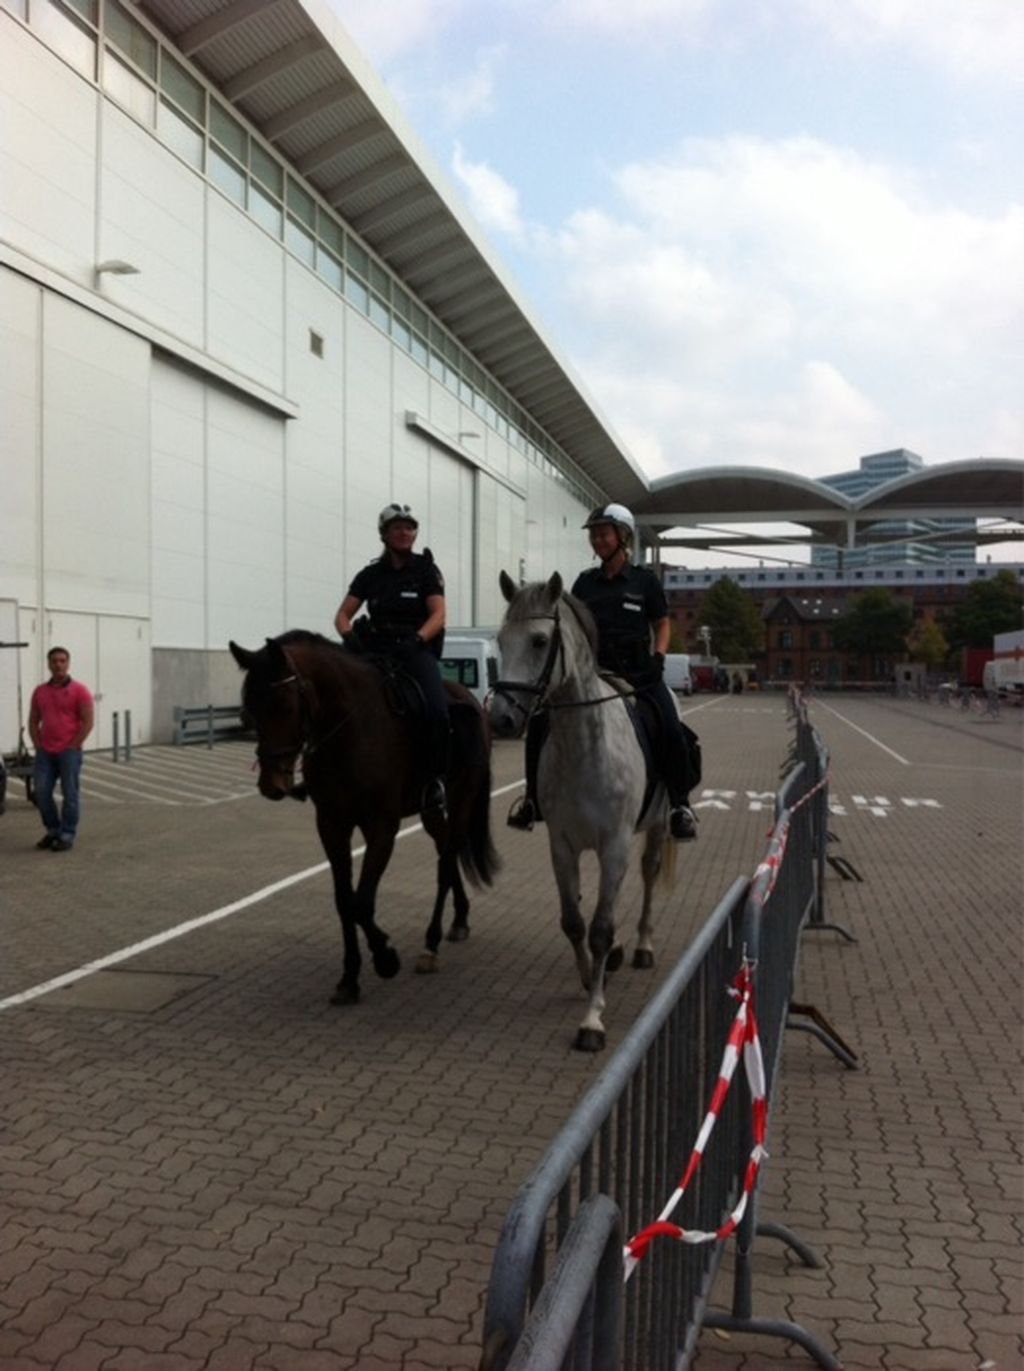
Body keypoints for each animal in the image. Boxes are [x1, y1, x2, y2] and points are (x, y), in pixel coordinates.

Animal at [233, 627, 504, 1003]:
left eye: (284, 705)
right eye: (250, 708)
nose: (271, 784)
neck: (349, 730)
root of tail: (472, 700)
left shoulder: (382, 828)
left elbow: (361, 902)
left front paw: (386, 958)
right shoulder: (332, 825)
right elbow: (344, 901)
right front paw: (349, 978)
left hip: (463, 797)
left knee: (447, 861)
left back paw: (431, 944)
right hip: (431, 811)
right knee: (445, 852)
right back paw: (459, 919)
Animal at [490, 567, 677, 1047]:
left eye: (539, 640)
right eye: (500, 639)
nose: (500, 719)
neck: (585, 748)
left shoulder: (614, 845)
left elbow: (601, 928)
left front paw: (592, 1018)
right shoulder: (562, 844)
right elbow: (574, 922)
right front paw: (590, 976)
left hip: (657, 827)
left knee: (649, 874)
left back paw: (642, 946)